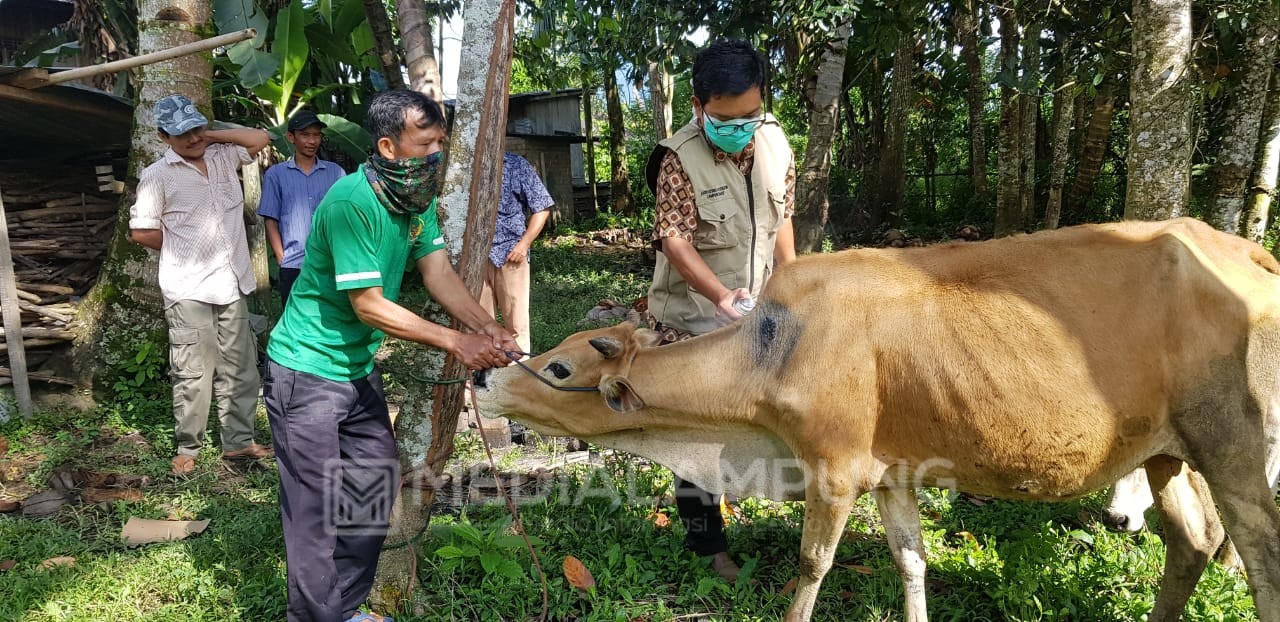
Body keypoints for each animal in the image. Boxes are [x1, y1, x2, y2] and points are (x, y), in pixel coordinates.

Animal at [476, 216, 1280, 619]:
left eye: (560, 369)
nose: (486, 378)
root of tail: (1248, 251)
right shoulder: (894, 474)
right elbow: (911, 562)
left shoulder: (832, 471)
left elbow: (812, 565)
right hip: (1165, 452)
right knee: (1193, 543)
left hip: (1235, 444)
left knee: (1258, 555)